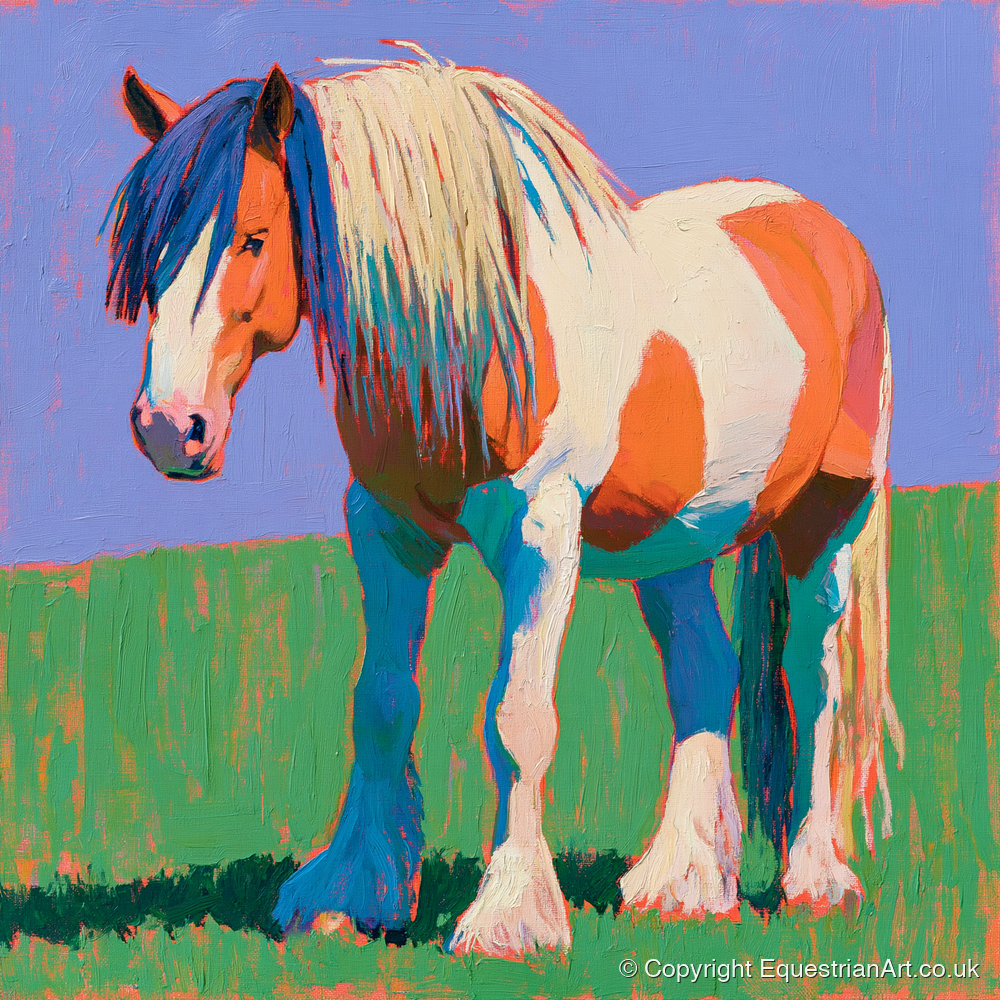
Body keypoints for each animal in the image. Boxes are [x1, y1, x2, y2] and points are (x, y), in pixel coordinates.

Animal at [104, 44, 902, 957]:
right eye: (152, 255)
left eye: (253, 237)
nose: (171, 428)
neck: (476, 333)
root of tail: (822, 231)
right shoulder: (386, 529)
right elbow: (381, 703)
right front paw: (351, 896)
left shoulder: (542, 532)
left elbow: (516, 717)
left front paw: (508, 918)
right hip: (675, 539)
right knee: (704, 670)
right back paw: (685, 886)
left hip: (827, 516)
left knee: (814, 678)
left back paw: (816, 879)